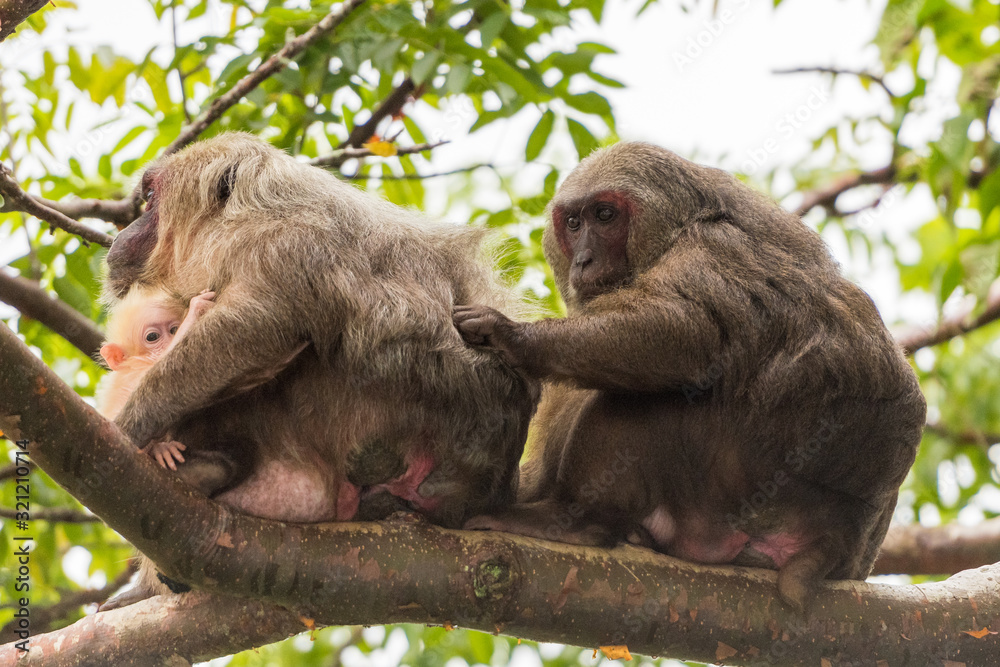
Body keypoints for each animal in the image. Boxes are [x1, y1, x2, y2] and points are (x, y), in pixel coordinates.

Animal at [453, 141, 926, 610]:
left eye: (604, 215)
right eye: (573, 223)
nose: (584, 260)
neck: (680, 229)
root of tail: (844, 532)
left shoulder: (711, 251)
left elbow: (687, 333)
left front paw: (513, 338)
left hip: (744, 485)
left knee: (637, 404)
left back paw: (579, 522)